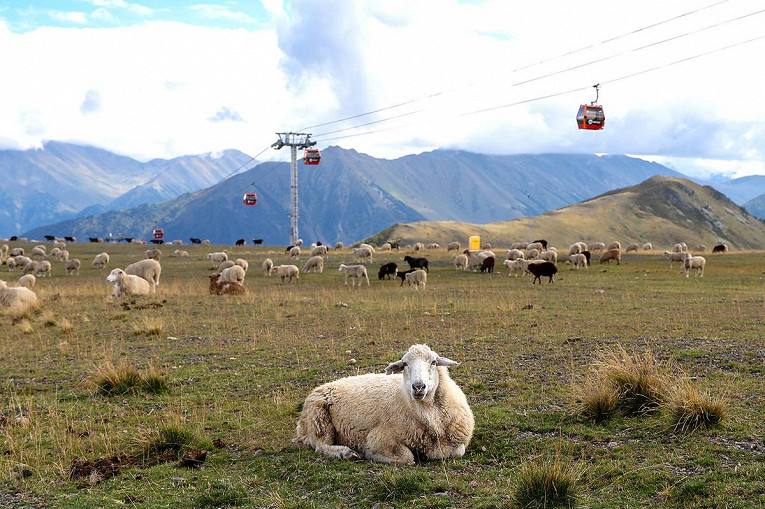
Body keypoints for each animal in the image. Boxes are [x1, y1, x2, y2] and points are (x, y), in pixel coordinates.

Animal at [292, 342, 472, 464]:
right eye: (405, 364)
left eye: (433, 362)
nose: (418, 387)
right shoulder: (380, 437)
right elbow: (407, 458)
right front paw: (370, 454)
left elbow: (458, 451)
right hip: (320, 420)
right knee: (320, 446)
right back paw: (346, 452)